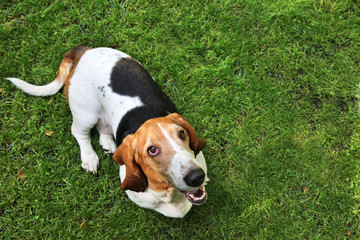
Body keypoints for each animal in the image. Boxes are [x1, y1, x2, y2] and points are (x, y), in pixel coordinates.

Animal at [6, 46, 208, 218]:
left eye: (181, 134)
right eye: (152, 150)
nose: (196, 176)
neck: (168, 191)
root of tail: (84, 51)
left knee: (103, 128)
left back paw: (108, 143)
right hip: (86, 114)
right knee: (78, 132)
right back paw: (89, 157)